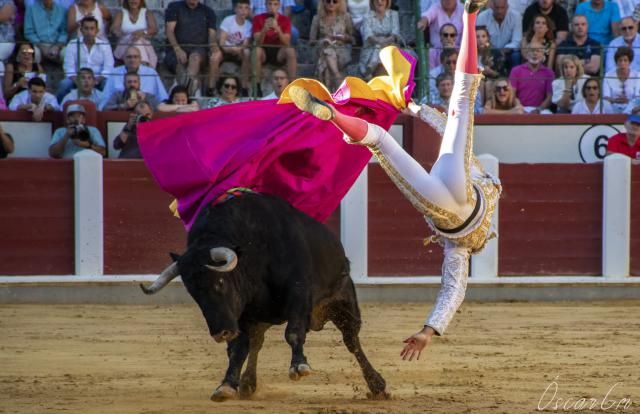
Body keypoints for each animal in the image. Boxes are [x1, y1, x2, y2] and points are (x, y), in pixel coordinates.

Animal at [140, 193, 388, 402]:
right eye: (193, 293)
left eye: (220, 282)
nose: (221, 333)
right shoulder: (242, 314)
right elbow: (239, 348)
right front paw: (227, 384)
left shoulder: (298, 293)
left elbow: (293, 333)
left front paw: (299, 366)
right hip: (260, 317)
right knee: (256, 343)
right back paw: (248, 383)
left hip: (343, 303)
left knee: (352, 341)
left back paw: (377, 385)